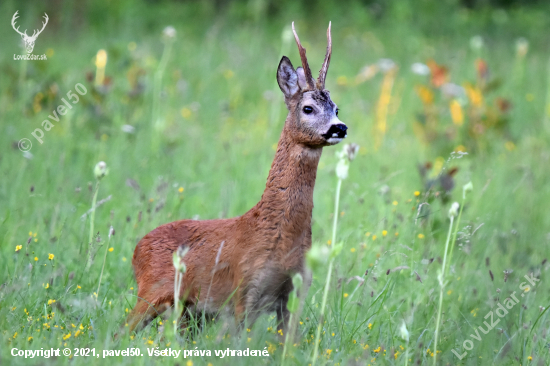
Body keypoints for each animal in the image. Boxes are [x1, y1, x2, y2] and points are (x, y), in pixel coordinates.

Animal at [127, 21, 348, 336]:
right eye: (308, 108)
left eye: (336, 108)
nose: (339, 127)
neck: (281, 237)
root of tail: (137, 248)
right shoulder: (245, 289)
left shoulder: (295, 291)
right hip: (152, 292)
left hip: (189, 313)